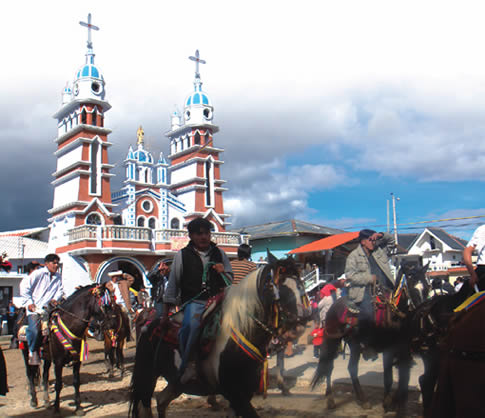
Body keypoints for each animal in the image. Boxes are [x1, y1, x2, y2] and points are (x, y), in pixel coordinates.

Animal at [129, 258, 310, 418]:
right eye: (274, 289)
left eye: (300, 286)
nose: (298, 327)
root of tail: (151, 323)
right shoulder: (233, 392)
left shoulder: (245, 391)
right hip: (147, 377)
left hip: (177, 382)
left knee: (161, 400)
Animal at [310, 262, 428, 416]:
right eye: (413, 287)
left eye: (427, 287)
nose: (423, 313)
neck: (394, 315)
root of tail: (333, 307)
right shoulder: (389, 349)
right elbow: (389, 378)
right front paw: (387, 403)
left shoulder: (403, 350)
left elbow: (403, 378)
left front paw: (396, 404)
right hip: (333, 340)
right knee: (328, 366)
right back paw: (331, 400)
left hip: (354, 344)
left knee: (351, 368)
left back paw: (362, 399)